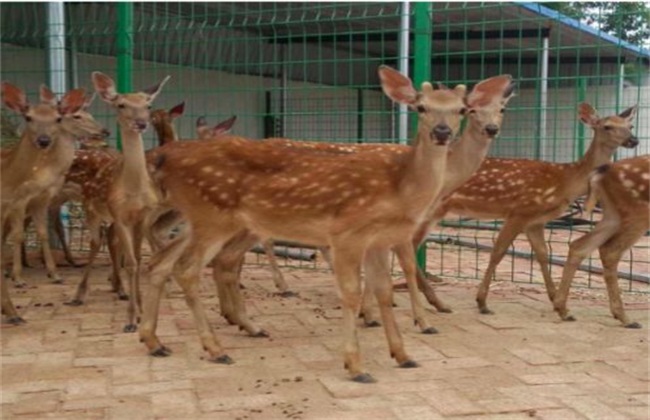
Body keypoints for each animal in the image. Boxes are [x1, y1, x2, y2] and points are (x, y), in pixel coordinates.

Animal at [0, 83, 91, 324]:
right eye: (28, 117)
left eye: (58, 118)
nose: (43, 140)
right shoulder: (21, 202)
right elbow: (20, 236)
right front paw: (18, 278)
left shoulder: (33, 202)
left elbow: (41, 232)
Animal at [65, 73, 170, 334]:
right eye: (121, 105)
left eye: (148, 105)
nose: (141, 123)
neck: (133, 190)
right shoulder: (120, 215)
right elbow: (131, 263)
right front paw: (131, 318)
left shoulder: (142, 217)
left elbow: (139, 260)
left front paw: (141, 309)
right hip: (91, 207)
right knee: (94, 242)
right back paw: (79, 294)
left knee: (109, 241)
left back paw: (118, 288)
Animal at [140, 65, 466, 380]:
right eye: (421, 107)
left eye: (462, 109)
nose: (442, 132)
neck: (398, 187)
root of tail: (163, 156)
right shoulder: (348, 233)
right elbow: (351, 293)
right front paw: (356, 366)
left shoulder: (378, 240)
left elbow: (383, 291)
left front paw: (403, 355)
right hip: (212, 217)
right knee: (187, 269)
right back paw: (215, 349)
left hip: (201, 220)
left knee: (162, 262)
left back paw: (156, 341)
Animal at [432, 101, 636, 314]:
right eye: (607, 126)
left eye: (630, 126)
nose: (634, 140)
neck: (567, 180)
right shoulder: (519, 211)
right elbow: (498, 252)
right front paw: (482, 302)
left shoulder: (535, 221)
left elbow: (543, 254)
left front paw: (554, 298)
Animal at [552, 154, 648, 328]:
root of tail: (602, 172)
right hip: (639, 211)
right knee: (610, 250)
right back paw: (626, 319)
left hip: (612, 214)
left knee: (579, 246)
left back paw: (564, 311)